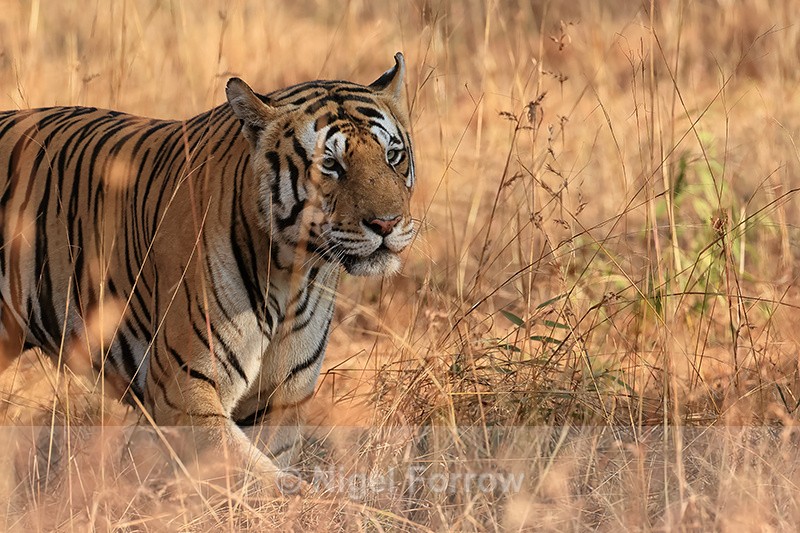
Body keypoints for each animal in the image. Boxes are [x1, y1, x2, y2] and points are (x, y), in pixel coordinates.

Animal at [0, 53, 415, 490]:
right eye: (330, 164)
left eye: (393, 155)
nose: (387, 224)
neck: (293, 272)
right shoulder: (185, 393)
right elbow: (262, 482)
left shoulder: (282, 397)